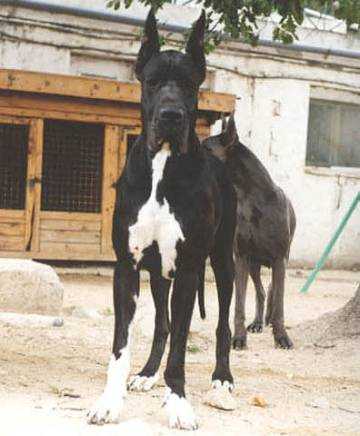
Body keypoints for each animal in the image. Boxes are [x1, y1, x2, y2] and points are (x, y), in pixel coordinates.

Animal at [88, 9, 236, 430]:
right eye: (152, 82)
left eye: (188, 85)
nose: (171, 115)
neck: (163, 165)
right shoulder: (127, 266)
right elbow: (122, 344)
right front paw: (110, 401)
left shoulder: (187, 269)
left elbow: (182, 348)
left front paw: (179, 404)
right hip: (157, 273)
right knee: (162, 324)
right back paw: (148, 373)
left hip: (223, 262)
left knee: (223, 324)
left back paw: (222, 379)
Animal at [202, 115, 296, 350]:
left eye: (206, 148)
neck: (253, 197)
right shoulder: (242, 258)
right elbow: (239, 303)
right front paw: (238, 337)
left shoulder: (279, 257)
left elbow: (279, 301)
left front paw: (281, 336)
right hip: (254, 263)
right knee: (261, 291)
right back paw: (257, 322)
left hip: (282, 259)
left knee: (272, 289)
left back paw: (269, 319)